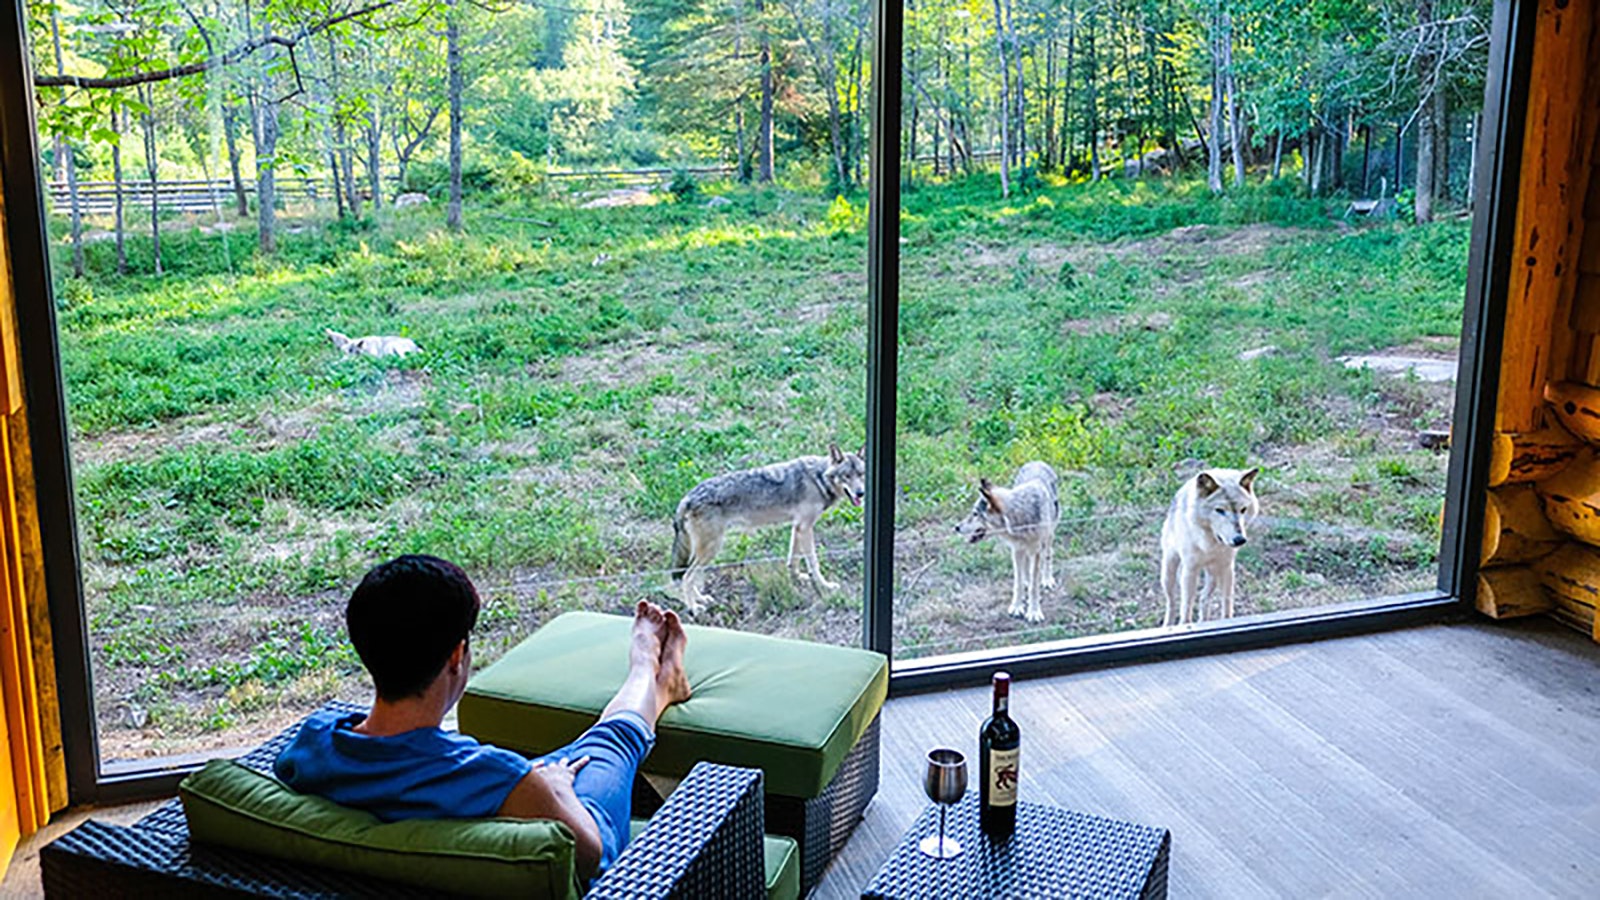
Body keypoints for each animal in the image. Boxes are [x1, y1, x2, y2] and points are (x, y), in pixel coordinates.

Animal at [665, 441, 864, 608]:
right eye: (846, 476)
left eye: (861, 475)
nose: (860, 493)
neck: (819, 478)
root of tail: (687, 497)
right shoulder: (806, 528)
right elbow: (813, 563)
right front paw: (825, 586)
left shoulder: (798, 527)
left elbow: (793, 559)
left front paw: (797, 578)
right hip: (711, 549)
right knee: (687, 577)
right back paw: (694, 608)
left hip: (705, 552)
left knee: (687, 575)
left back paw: (701, 599)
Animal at [947, 458, 1062, 621]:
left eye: (975, 514)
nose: (956, 527)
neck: (1020, 518)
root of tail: (1037, 461)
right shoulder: (1016, 549)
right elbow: (1018, 583)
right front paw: (1017, 607)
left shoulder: (1036, 551)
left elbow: (1034, 586)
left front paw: (1034, 612)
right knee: (1026, 569)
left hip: (1048, 537)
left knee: (1048, 555)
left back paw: (1047, 580)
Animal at [1164, 464, 1260, 627]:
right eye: (1220, 510)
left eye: (1243, 510)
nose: (1239, 540)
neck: (1211, 544)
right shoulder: (1190, 570)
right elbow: (1186, 607)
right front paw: (1185, 625)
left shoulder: (1227, 568)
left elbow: (1227, 602)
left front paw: (1227, 621)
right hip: (1168, 573)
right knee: (1172, 602)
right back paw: (1168, 625)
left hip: (1213, 574)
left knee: (1204, 597)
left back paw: (1204, 621)